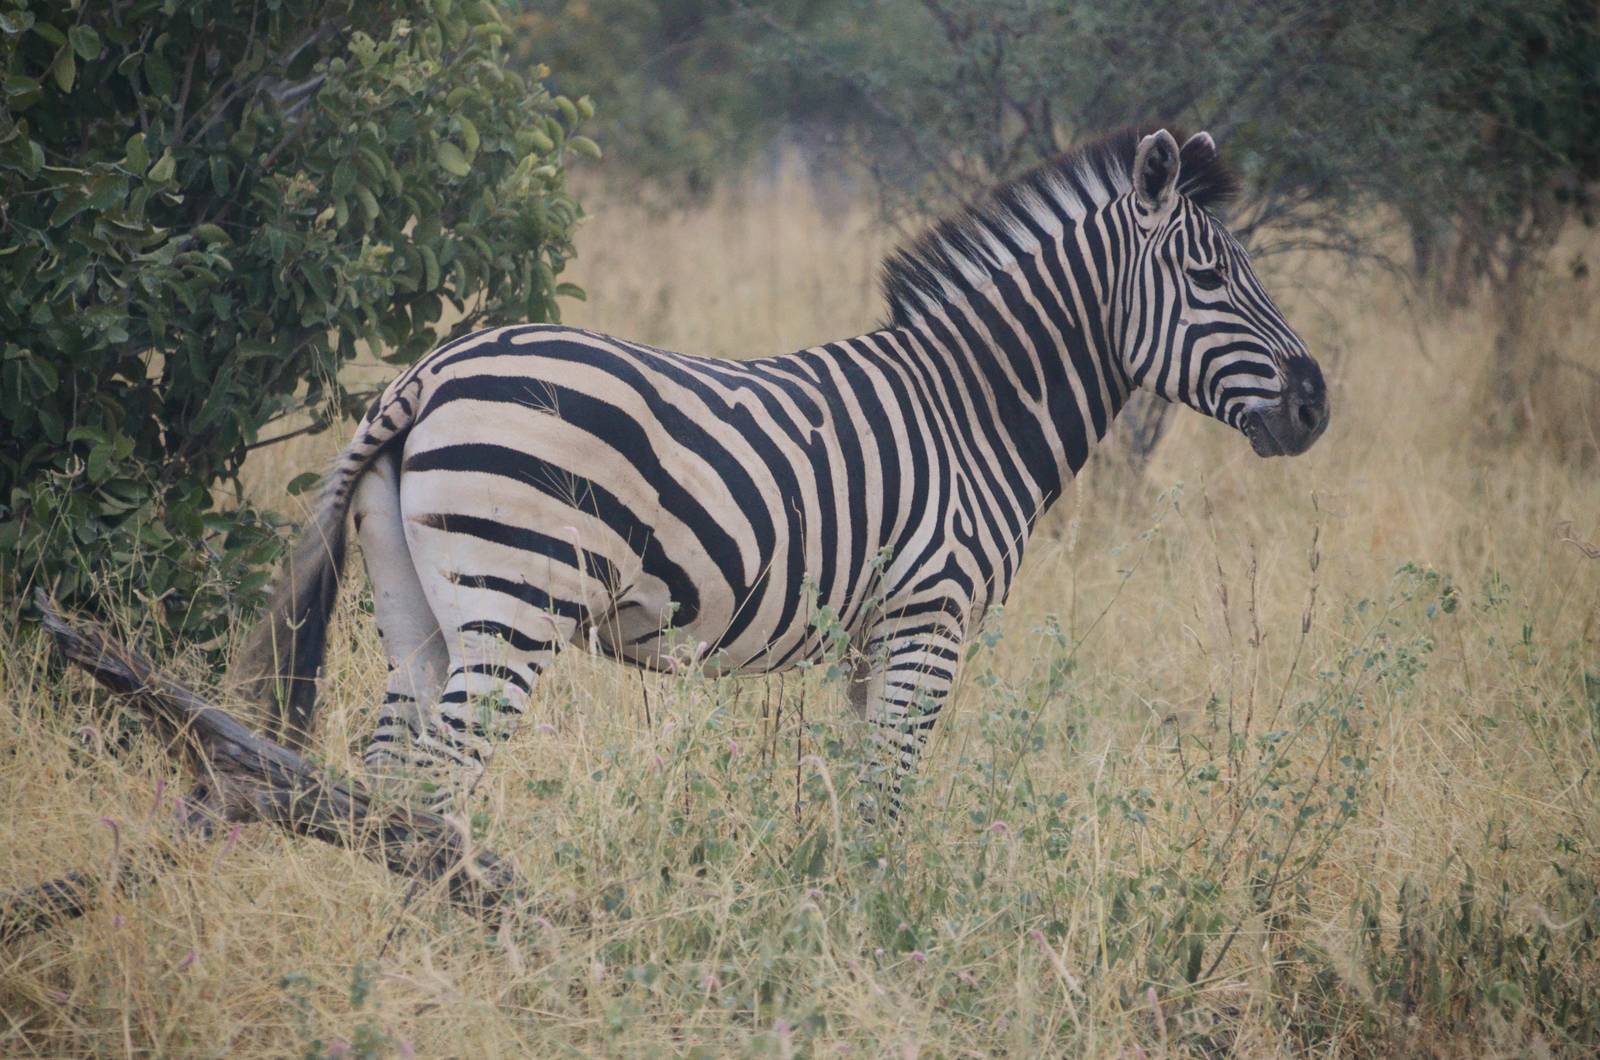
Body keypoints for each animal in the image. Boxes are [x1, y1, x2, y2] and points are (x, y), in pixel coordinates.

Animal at [233, 126, 1328, 819]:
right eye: (1208, 278)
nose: (1317, 403)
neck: (976, 409)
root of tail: (427, 373)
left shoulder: (872, 636)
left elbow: (855, 788)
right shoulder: (931, 619)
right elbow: (889, 797)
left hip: (418, 608)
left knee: (388, 769)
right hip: (517, 598)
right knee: (441, 772)